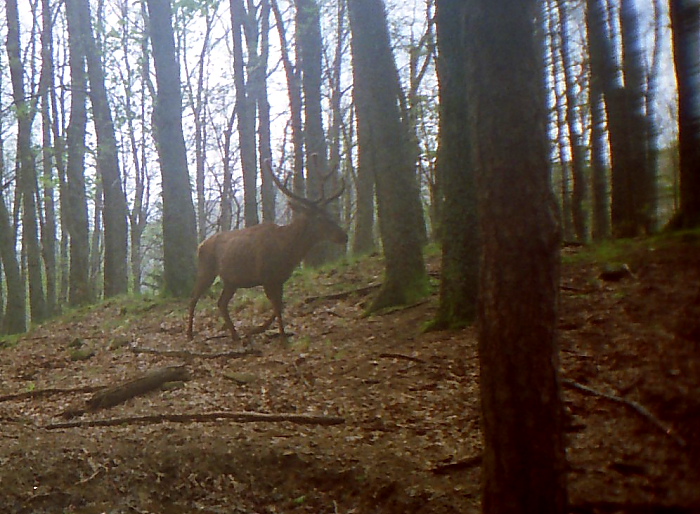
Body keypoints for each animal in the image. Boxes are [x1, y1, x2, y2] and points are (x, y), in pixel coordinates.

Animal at [186, 161, 348, 340]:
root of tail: (200, 246)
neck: (288, 251)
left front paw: (257, 330)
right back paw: (190, 333)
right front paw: (282, 337)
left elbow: (280, 305)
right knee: (193, 297)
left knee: (221, 303)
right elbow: (277, 306)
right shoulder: (266, 276)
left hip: (231, 280)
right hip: (207, 269)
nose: (344, 236)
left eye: (330, 214)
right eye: (319, 218)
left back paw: (235, 335)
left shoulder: (280, 279)